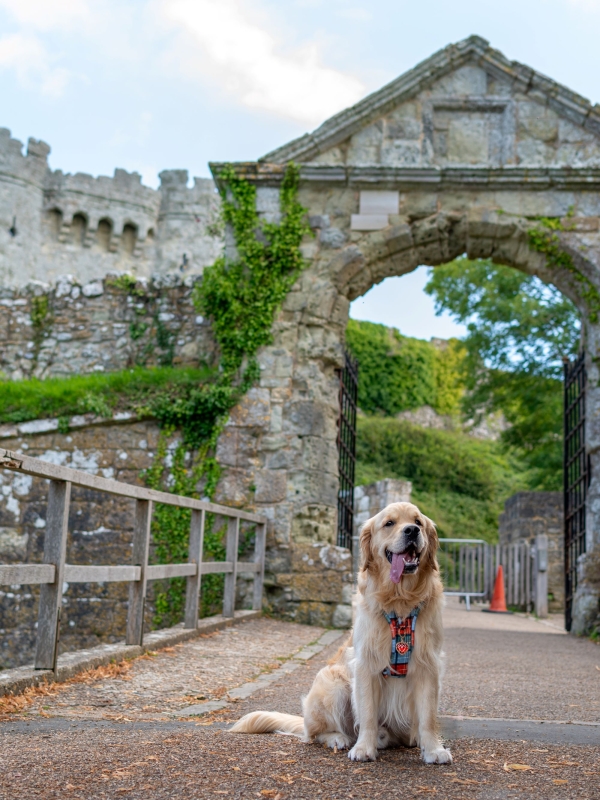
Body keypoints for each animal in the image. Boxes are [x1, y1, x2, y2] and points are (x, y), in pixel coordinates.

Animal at [230, 504, 450, 764]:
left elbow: (428, 717)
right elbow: (367, 714)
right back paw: (340, 738)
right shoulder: (365, 664)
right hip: (332, 682)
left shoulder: (428, 664)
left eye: (418, 522)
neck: (401, 601)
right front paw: (364, 748)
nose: (412, 531)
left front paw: (434, 750)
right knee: (315, 733)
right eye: (389, 523)